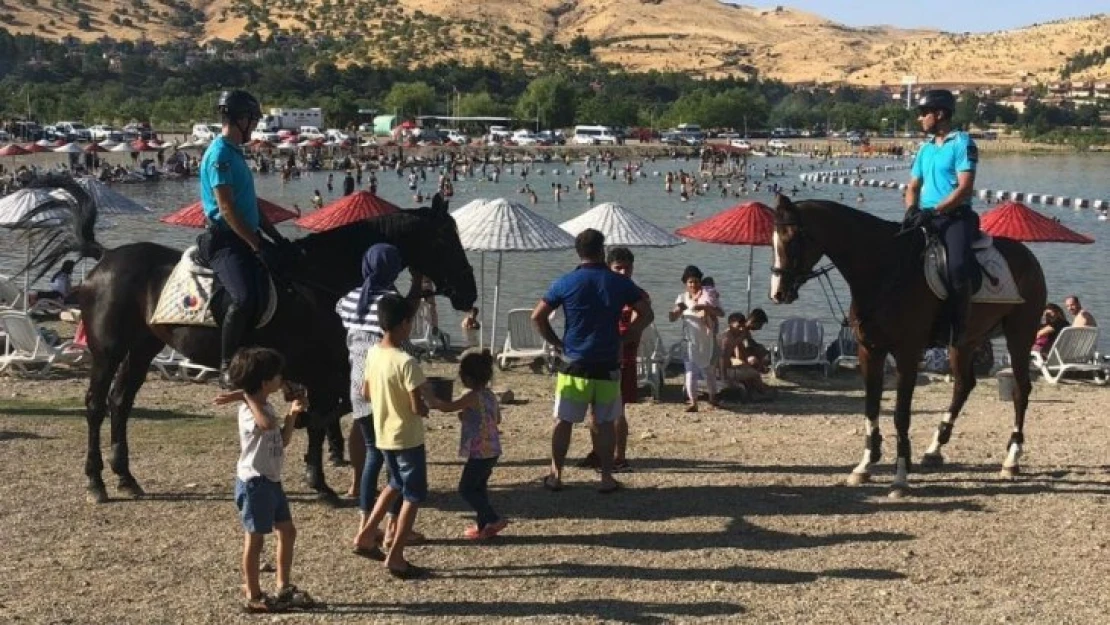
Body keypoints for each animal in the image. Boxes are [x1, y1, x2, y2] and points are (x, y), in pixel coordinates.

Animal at [19, 180, 475, 503]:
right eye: (445, 239)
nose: (468, 292)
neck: (319, 278)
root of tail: (106, 258)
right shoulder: (321, 368)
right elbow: (322, 417)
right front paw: (320, 481)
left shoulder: (324, 369)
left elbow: (324, 415)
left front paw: (316, 470)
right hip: (108, 351)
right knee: (96, 405)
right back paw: (96, 481)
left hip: (142, 349)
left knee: (120, 403)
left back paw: (126, 477)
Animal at [768, 195, 1043, 499]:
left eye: (792, 239)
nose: (778, 292)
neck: (883, 268)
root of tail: (1028, 255)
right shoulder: (870, 351)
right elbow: (871, 407)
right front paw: (865, 464)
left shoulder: (907, 353)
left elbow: (901, 415)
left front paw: (899, 476)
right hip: (964, 342)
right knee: (964, 384)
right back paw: (936, 446)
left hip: (1019, 335)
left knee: (1020, 389)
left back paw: (1012, 458)